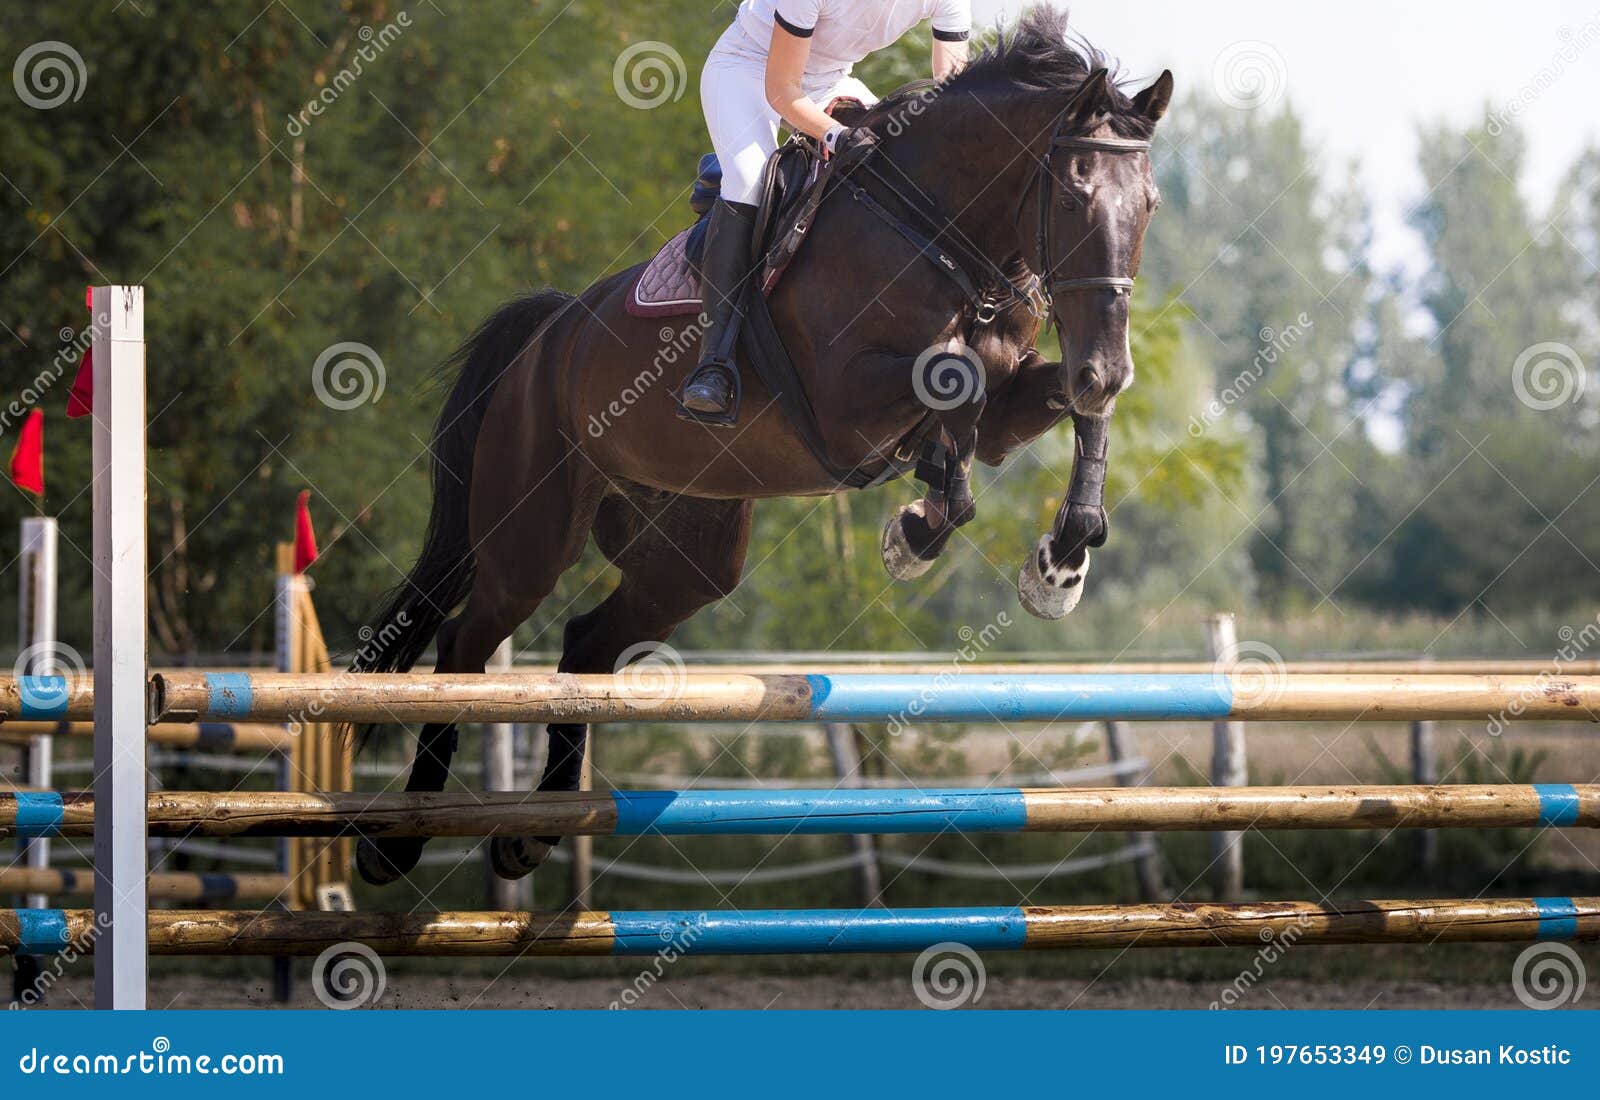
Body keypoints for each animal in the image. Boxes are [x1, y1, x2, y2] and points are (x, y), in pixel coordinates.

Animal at [353, 8, 1177, 882]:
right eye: (1075, 191)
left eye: (1151, 203)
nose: (1108, 366)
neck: (936, 230)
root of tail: (548, 333)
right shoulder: (846, 401)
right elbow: (956, 383)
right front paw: (914, 533)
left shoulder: (1010, 408)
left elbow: (1059, 411)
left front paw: (1059, 566)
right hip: (530, 533)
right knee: (464, 642)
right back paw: (397, 842)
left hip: (691, 551)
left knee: (586, 646)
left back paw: (529, 832)